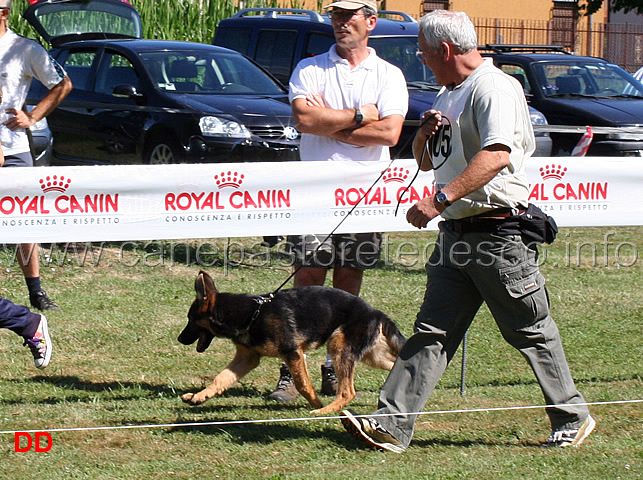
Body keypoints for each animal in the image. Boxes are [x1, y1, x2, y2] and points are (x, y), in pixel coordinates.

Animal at [179, 270, 406, 412]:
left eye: (190, 320)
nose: (180, 339)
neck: (252, 314)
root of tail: (375, 312)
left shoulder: (292, 353)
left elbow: (302, 383)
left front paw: (315, 402)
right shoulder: (247, 359)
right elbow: (221, 378)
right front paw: (199, 397)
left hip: (339, 347)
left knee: (347, 392)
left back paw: (324, 411)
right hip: (372, 356)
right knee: (396, 364)